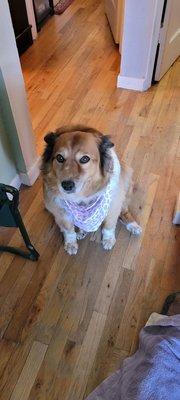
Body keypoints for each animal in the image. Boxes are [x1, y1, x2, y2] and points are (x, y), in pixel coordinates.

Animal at [41, 125, 141, 255]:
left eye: (84, 159)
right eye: (59, 158)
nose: (67, 185)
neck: (82, 197)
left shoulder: (113, 204)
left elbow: (109, 225)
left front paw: (108, 239)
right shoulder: (60, 212)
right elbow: (68, 230)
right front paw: (71, 243)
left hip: (127, 180)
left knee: (124, 211)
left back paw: (132, 225)